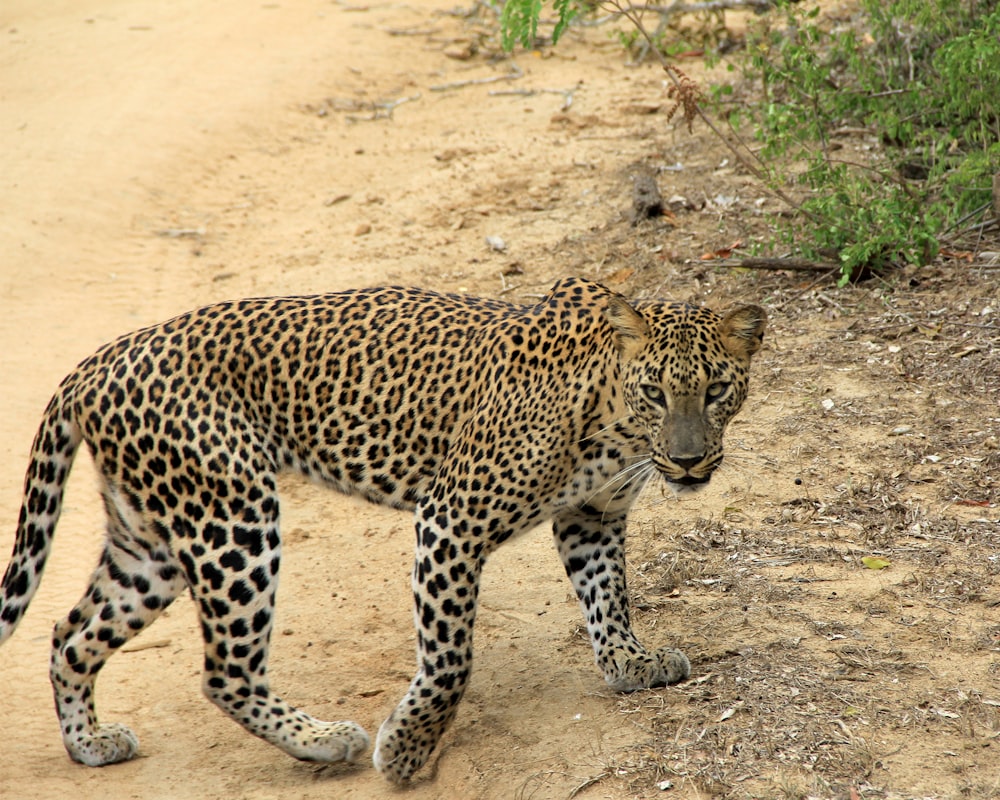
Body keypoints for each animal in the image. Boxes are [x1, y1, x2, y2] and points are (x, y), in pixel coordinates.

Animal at [0, 276, 764, 780]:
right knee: (223, 671)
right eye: (657, 392)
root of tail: (93, 364)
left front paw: (631, 662)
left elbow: (609, 596)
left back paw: (90, 745)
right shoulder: (451, 520)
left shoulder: (593, 515)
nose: (689, 460)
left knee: (70, 634)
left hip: (152, 542)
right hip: (232, 518)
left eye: (717, 391)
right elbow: (451, 659)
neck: (614, 423)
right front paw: (405, 751)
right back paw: (323, 739)